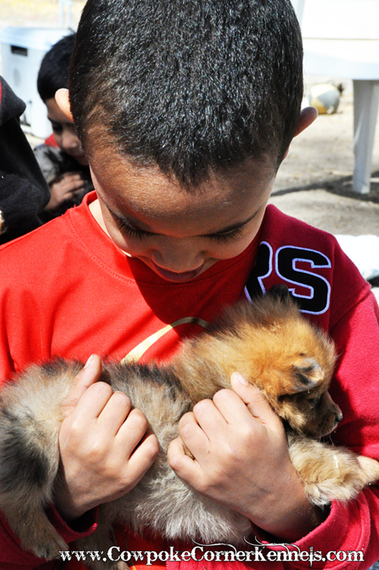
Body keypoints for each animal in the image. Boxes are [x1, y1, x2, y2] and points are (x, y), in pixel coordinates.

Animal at [0, 290, 379, 564]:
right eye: (315, 397)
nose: (340, 417)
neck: (219, 386)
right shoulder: (298, 455)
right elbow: (335, 461)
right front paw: (365, 469)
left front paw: (368, 467)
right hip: (38, 435)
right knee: (17, 497)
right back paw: (44, 537)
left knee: (90, 537)